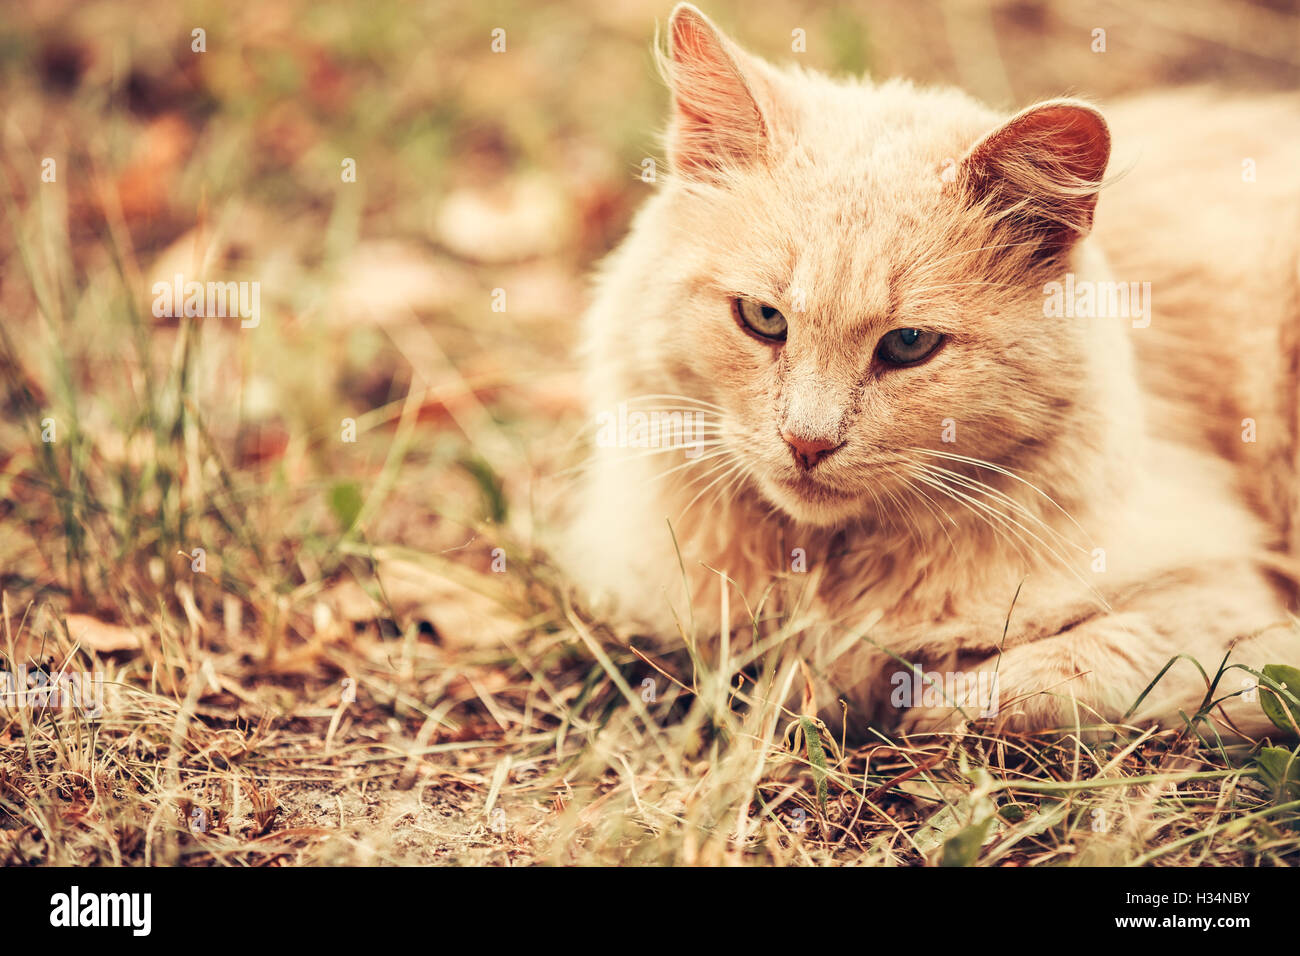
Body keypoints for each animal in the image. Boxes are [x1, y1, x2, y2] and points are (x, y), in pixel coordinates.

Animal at [559, 3, 1300, 738]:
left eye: (910, 344)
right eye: (764, 318)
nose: (807, 443)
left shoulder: (1223, 613)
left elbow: (1027, 683)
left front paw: (912, 700)